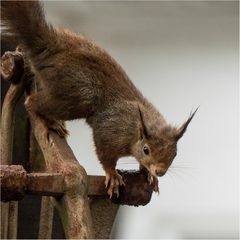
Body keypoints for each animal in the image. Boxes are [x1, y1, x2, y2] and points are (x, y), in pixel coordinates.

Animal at [1, 1, 197, 197]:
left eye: (175, 153)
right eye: (146, 150)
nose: (160, 171)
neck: (134, 128)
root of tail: (50, 45)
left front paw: (151, 176)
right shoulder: (110, 130)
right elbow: (105, 154)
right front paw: (113, 175)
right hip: (75, 97)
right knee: (33, 102)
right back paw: (46, 122)